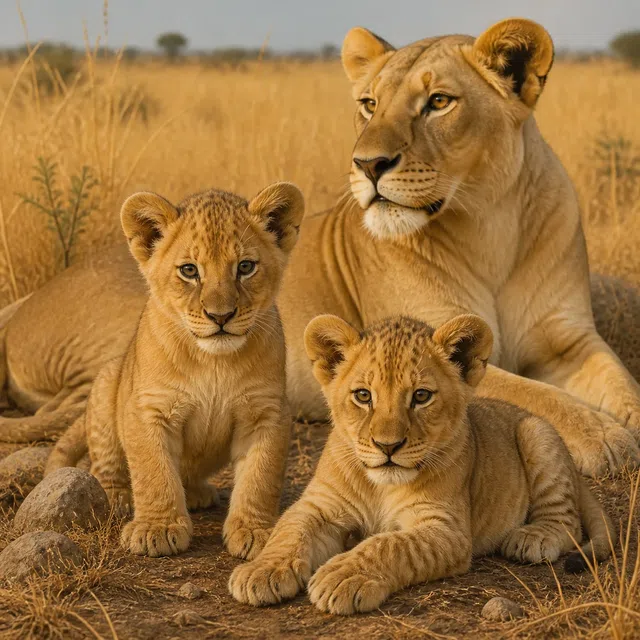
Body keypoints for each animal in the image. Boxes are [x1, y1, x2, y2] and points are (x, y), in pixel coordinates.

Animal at [0, 18, 639, 478]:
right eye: (368, 104)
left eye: (439, 103)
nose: (367, 164)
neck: (490, 225)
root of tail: (29, 302)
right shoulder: (436, 347)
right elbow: (536, 395)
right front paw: (605, 437)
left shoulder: (569, 341)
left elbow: (621, 383)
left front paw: (620, 420)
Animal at [44, 182, 304, 559]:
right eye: (190, 271)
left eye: (245, 267)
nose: (220, 316)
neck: (214, 362)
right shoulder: (148, 409)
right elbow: (154, 471)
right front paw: (158, 528)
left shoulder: (267, 412)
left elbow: (261, 476)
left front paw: (257, 530)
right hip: (108, 381)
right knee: (104, 462)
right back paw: (117, 496)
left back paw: (196, 493)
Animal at [229, 314, 613, 615]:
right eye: (363, 396)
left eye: (421, 396)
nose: (388, 446)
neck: (379, 485)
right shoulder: (319, 505)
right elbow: (288, 531)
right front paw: (260, 571)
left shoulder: (446, 529)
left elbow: (389, 545)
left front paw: (343, 576)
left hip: (537, 432)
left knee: (567, 521)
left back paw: (533, 537)